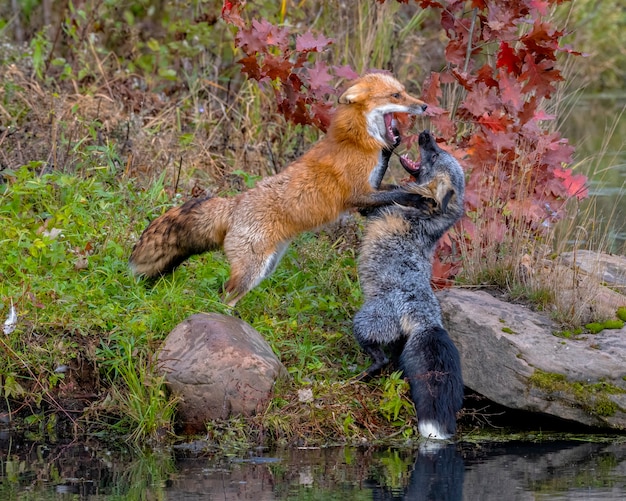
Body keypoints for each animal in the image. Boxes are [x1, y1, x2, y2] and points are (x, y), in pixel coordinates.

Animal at [129, 73, 426, 304]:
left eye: (405, 91)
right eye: (397, 95)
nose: (424, 106)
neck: (358, 140)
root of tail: (234, 204)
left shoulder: (368, 195)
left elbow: (393, 189)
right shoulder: (358, 195)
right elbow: (400, 193)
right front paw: (421, 198)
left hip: (266, 267)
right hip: (252, 270)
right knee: (224, 296)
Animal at [352, 131, 464, 440]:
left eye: (435, 155)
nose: (426, 134)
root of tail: (428, 322)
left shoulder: (370, 207)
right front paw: (390, 141)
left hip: (364, 321)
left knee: (380, 359)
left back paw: (363, 373)